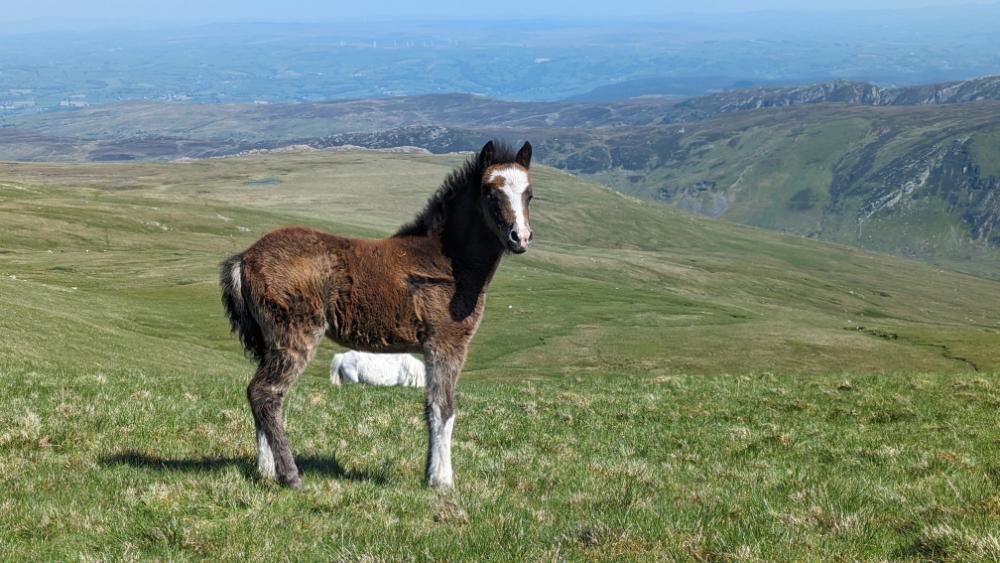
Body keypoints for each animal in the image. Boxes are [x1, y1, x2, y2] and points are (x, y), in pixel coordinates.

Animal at [220, 140, 535, 489]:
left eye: (529, 194)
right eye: (491, 193)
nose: (520, 237)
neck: (449, 261)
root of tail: (244, 258)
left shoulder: (429, 348)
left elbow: (429, 406)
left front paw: (429, 474)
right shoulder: (447, 342)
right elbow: (444, 408)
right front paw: (443, 481)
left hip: (269, 341)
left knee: (259, 395)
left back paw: (265, 470)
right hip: (294, 334)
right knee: (266, 393)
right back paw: (290, 476)